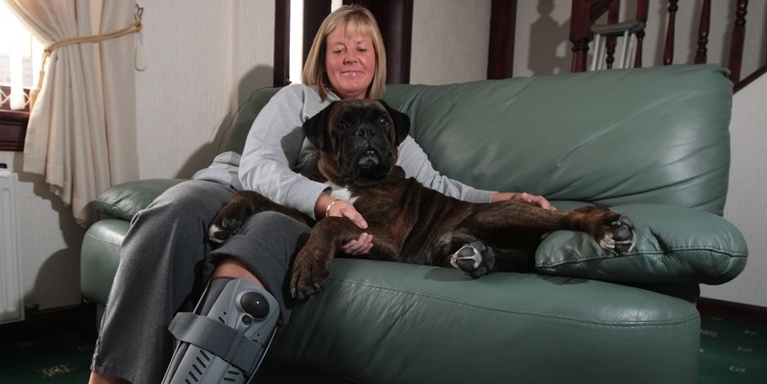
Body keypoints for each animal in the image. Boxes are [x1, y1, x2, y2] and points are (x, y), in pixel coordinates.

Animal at [210, 99, 636, 300]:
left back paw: (611, 228)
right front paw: (225, 220)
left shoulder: (382, 235)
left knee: (571, 215)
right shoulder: (308, 213)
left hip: (496, 216)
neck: (351, 180)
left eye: (382, 121)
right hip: (459, 237)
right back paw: (478, 257)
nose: (366, 132)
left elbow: (332, 221)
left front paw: (307, 266)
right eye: (343, 124)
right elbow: (254, 192)